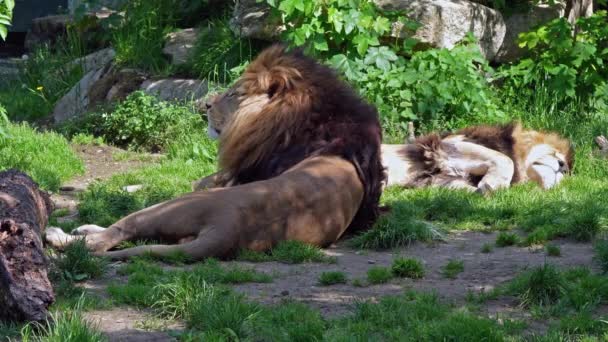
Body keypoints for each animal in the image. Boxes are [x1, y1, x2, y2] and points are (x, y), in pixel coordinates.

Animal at [46, 44, 384, 260]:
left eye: (234, 94)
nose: (206, 105)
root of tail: (228, 230)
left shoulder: (226, 178)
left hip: (174, 206)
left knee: (111, 236)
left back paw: (60, 234)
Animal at [382, 123, 572, 192]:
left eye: (568, 174)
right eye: (556, 153)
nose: (562, 166)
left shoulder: (440, 180)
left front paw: (480, 191)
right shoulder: (449, 145)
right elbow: (505, 159)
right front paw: (493, 184)